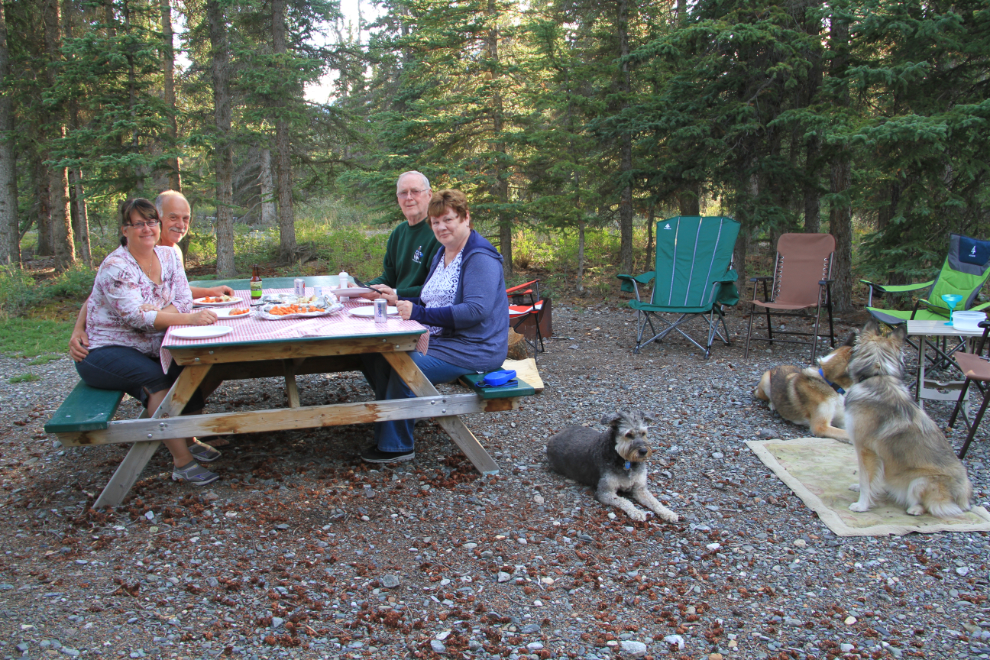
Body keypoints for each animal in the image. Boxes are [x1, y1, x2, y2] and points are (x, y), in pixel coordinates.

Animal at [548, 410, 680, 524]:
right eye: (628, 434)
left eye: (643, 433)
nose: (643, 451)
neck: (625, 461)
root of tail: (555, 436)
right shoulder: (605, 492)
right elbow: (625, 502)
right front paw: (637, 512)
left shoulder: (640, 489)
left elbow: (655, 502)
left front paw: (668, 513)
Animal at [844, 318, 976, 516]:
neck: (878, 374)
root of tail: (964, 498)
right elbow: (866, 477)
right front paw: (859, 489)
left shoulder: (865, 448)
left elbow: (866, 478)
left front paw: (861, 505)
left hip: (919, 481)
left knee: (934, 506)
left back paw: (914, 508)